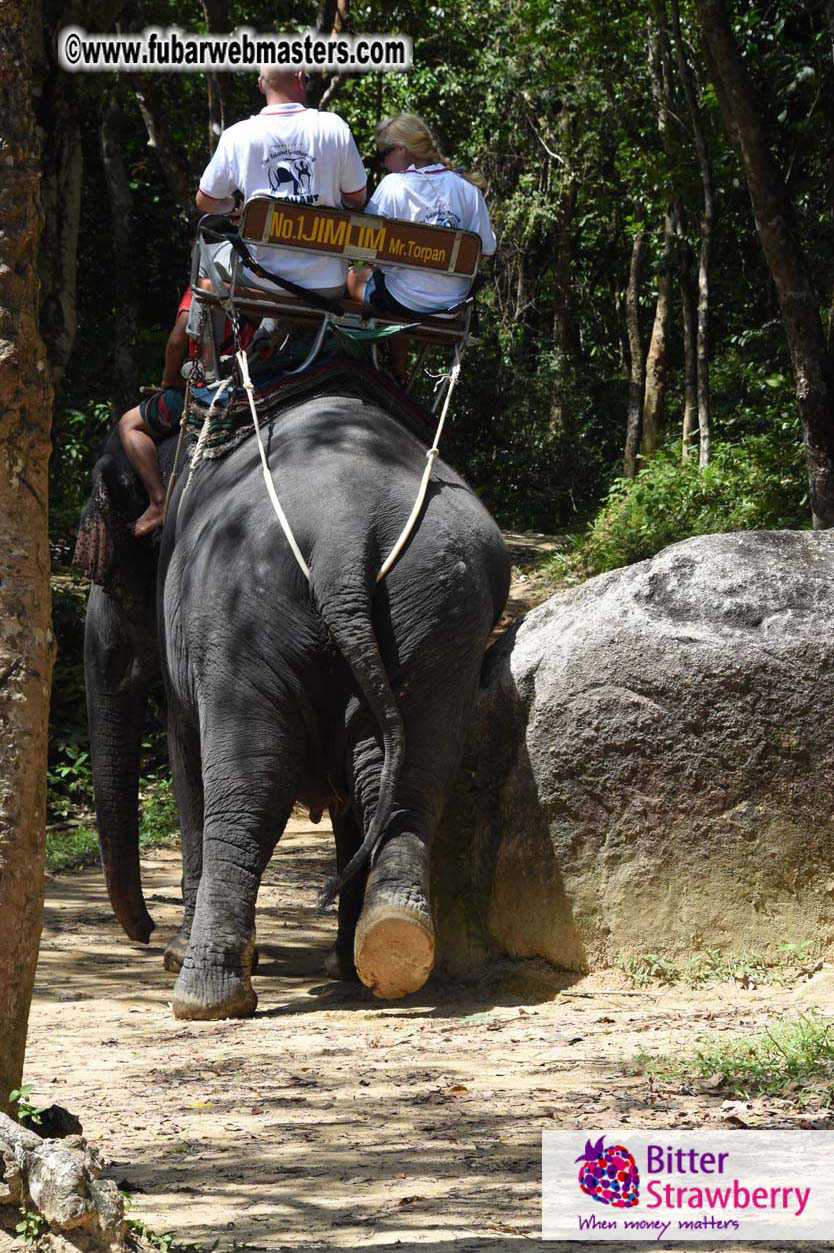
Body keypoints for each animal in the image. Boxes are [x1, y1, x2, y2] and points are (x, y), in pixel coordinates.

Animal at [79, 385, 510, 1020]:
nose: (145, 931)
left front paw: (174, 954)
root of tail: (345, 534)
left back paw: (204, 996)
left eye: (112, 575)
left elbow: (185, 753)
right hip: (440, 610)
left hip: (244, 616)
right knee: (406, 777)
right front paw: (347, 963)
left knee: (247, 793)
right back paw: (390, 943)